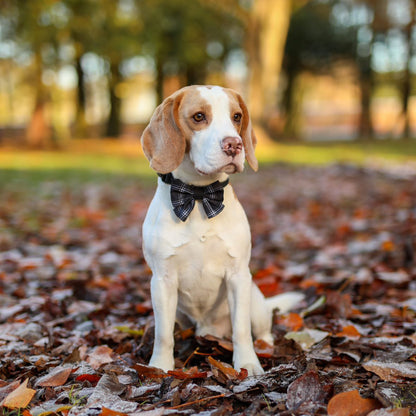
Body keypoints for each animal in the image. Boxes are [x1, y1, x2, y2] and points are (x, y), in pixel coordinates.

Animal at [140, 86, 302, 376]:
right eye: (199, 116)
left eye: (236, 116)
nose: (234, 144)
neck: (198, 196)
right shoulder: (162, 281)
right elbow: (163, 335)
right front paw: (159, 367)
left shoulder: (237, 276)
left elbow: (241, 330)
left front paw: (248, 363)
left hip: (255, 301)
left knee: (261, 330)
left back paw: (265, 346)